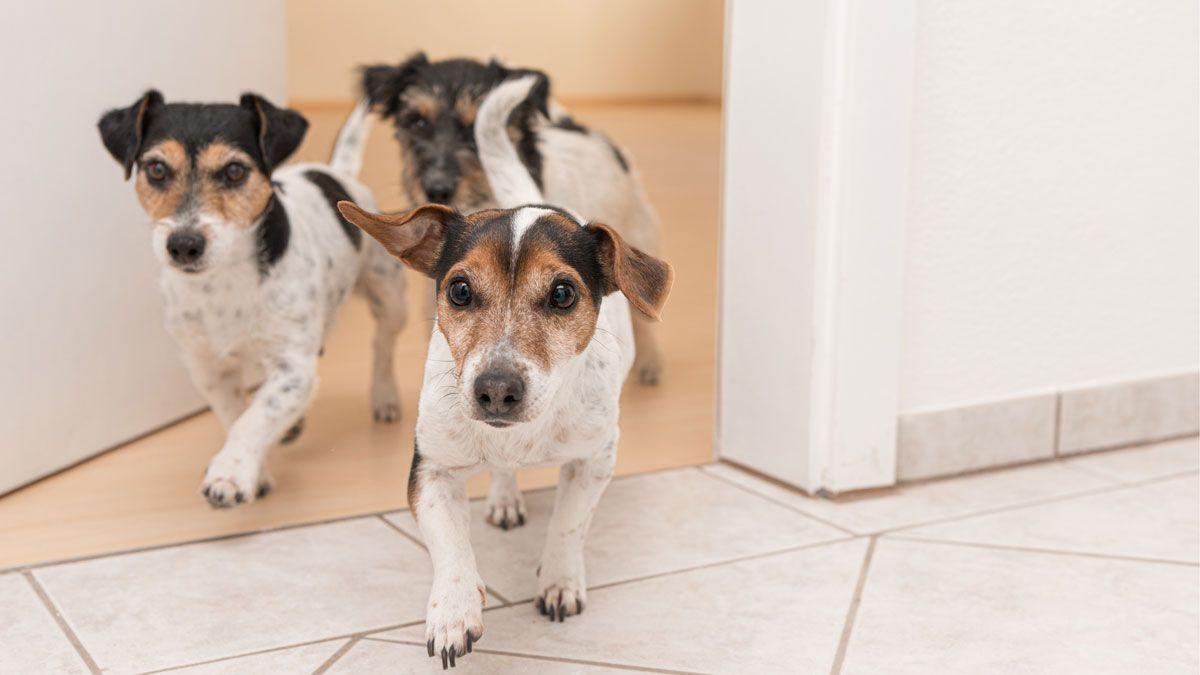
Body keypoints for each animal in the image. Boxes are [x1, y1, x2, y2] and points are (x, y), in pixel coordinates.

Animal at [98, 90, 408, 504]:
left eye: (234, 171)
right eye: (157, 169)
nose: (183, 244)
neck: (223, 284)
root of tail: (337, 172)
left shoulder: (294, 366)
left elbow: (255, 417)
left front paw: (230, 474)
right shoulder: (208, 369)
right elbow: (236, 415)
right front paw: (255, 470)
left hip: (389, 297)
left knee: (383, 344)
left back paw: (384, 395)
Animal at [338, 77, 676, 667]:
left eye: (563, 294)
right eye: (459, 290)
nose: (495, 391)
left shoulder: (595, 459)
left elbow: (568, 524)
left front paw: (560, 581)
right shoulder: (430, 469)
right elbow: (450, 547)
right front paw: (454, 610)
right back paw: (503, 496)